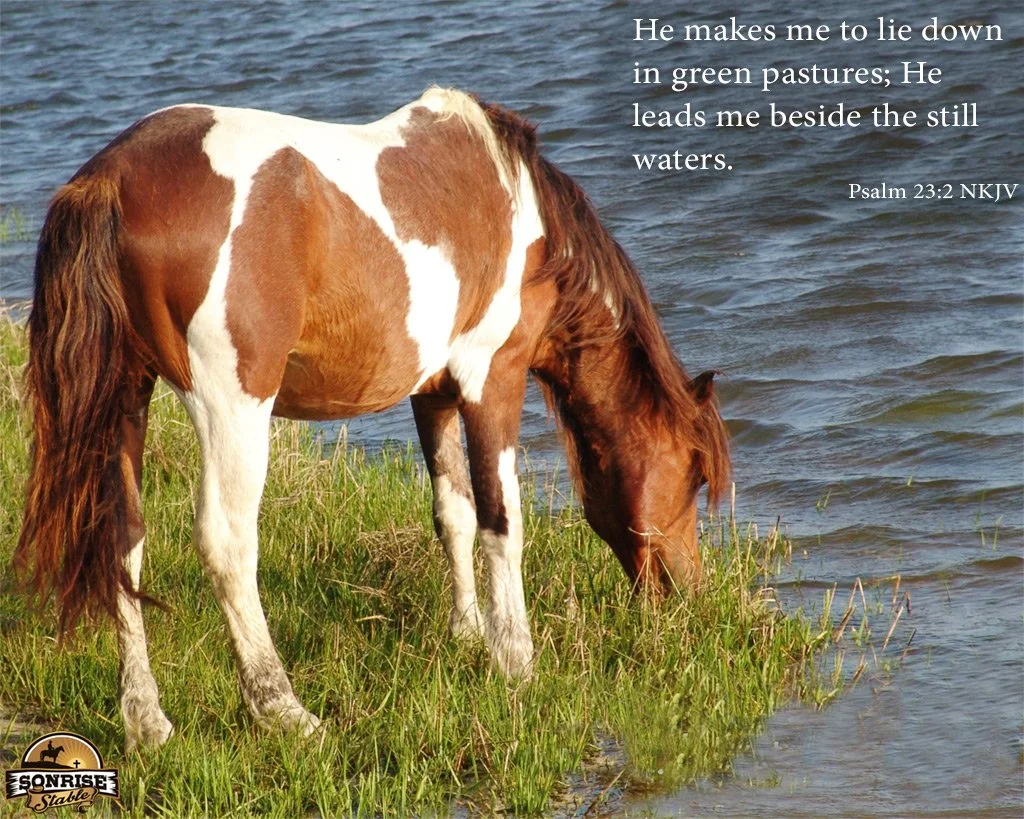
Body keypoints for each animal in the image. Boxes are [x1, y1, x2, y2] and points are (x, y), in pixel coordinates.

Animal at [15, 87, 729, 751]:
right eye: (695, 476)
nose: (689, 597)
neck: (523, 214)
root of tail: (111, 178)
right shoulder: (492, 379)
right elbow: (502, 523)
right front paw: (516, 660)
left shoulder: (432, 392)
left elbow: (453, 514)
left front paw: (467, 635)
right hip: (232, 406)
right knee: (227, 544)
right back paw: (284, 709)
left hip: (126, 398)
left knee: (121, 541)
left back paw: (146, 722)